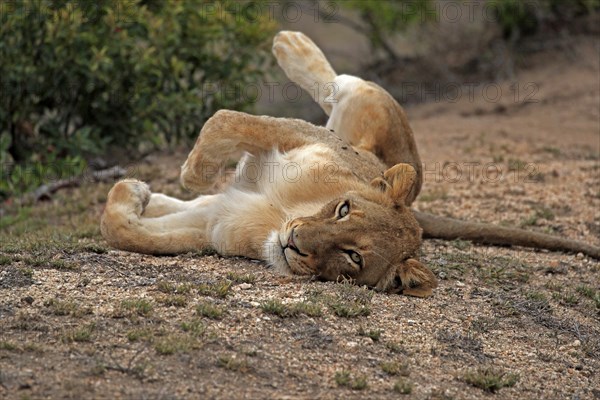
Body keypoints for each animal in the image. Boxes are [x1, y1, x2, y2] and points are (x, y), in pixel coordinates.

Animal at [102, 30, 600, 296]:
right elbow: (225, 121)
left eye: (353, 256)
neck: (281, 213)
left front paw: (134, 196)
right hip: (368, 119)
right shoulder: (297, 137)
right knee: (343, 85)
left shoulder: (214, 227)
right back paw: (291, 45)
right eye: (344, 209)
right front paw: (183, 173)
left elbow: (127, 233)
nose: (294, 242)